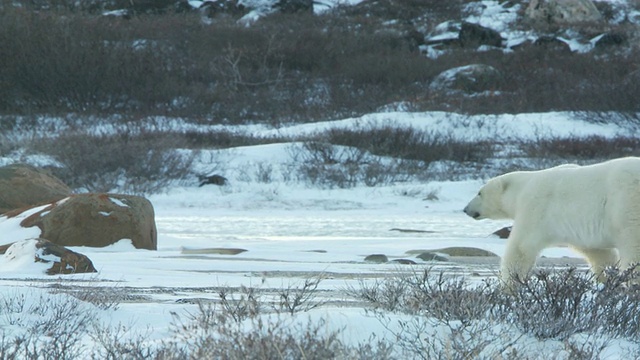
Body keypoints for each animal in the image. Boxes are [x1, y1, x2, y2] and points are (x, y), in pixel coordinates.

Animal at [464, 159, 640, 286]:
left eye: (479, 193)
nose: (466, 209)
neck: (522, 188)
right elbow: (598, 252)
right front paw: (608, 278)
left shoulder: (534, 207)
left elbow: (521, 247)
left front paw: (510, 286)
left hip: (626, 206)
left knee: (632, 246)